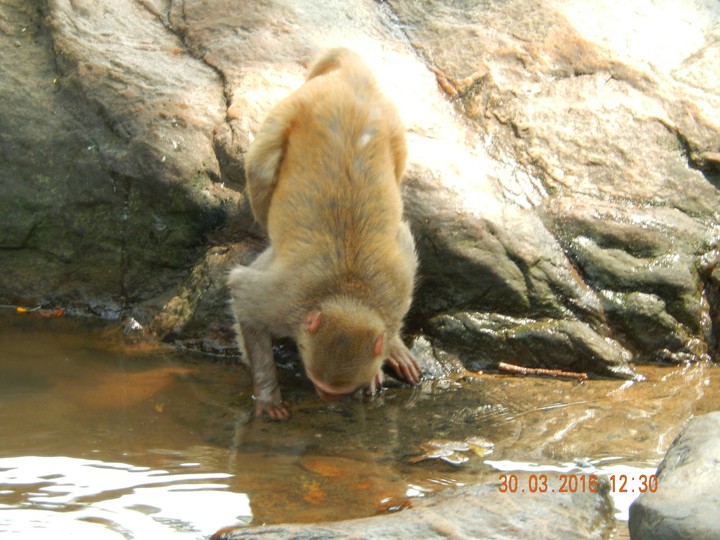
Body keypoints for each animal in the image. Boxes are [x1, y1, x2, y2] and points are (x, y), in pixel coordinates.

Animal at [228, 48, 421, 421]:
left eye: (337, 391)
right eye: (319, 384)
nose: (325, 399)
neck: (348, 292)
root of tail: (351, 82)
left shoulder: (399, 288)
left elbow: (403, 244)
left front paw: (392, 349)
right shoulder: (282, 301)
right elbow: (244, 300)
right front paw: (268, 396)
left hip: (393, 126)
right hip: (290, 108)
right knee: (261, 169)